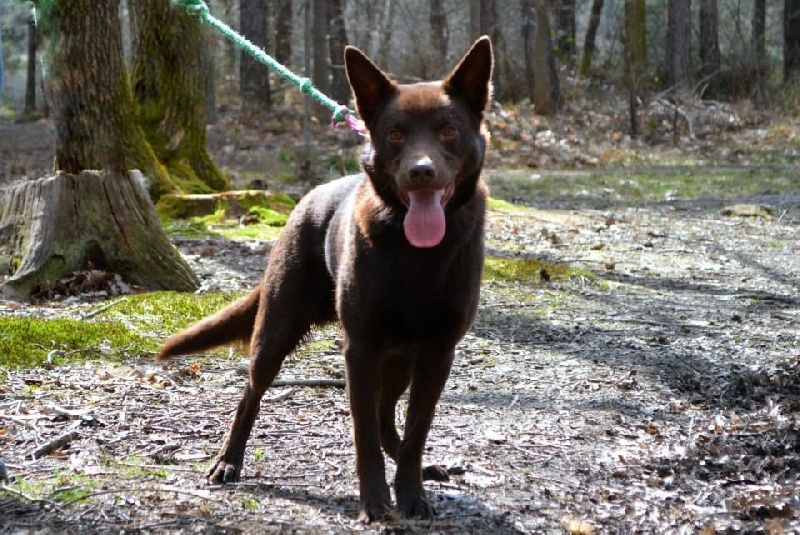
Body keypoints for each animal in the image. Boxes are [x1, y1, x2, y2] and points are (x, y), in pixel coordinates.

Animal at [157, 36, 493, 523]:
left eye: (448, 129)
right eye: (395, 134)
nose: (421, 172)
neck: (415, 253)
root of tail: (308, 198)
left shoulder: (437, 353)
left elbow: (416, 430)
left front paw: (411, 494)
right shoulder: (360, 350)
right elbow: (364, 435)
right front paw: (375, 502)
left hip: (400, 359)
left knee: (388, 416)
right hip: (277, 332)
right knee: (251, 393)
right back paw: (228, 461)